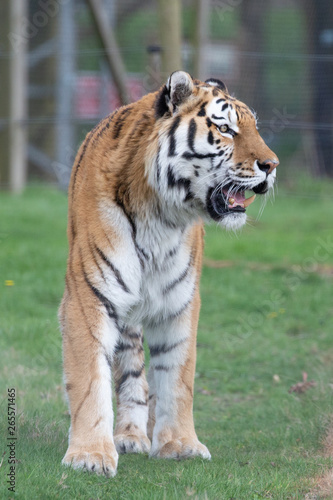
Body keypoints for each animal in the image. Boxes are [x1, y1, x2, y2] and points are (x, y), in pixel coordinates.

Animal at [59, 70, 278, 476]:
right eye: (225, 129)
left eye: (255, 127)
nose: (272, 165)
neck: (161, 215)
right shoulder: (89, 295)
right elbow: (88, 378)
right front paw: (89, 456)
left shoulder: (180, 300)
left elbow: (178, 376)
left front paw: (180, 445)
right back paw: (127, 436)